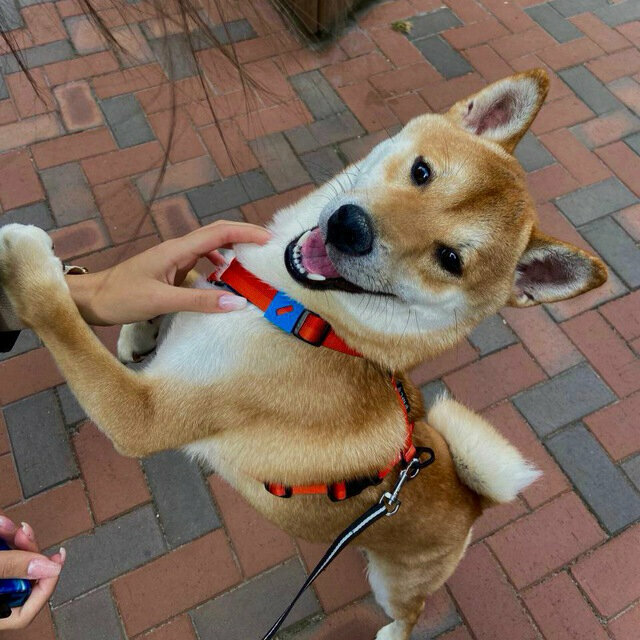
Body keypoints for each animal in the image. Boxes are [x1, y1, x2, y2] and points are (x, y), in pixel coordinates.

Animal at [0, 70, 608, 640]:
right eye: (422, 172)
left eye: (450, 259)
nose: (350, 227)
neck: (296, 312)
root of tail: (470, 499)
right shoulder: (216, 283)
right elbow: (180, 272)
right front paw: (140, 329)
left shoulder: (143, 418)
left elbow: (61, 320)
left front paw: (27, 259)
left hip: (395, 583)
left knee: (412, 611)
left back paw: (392, 631)